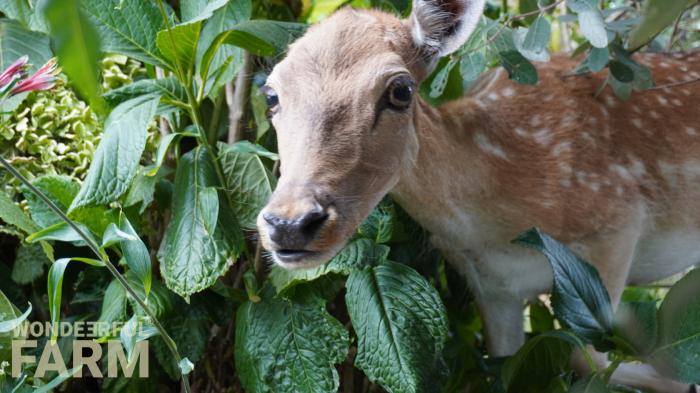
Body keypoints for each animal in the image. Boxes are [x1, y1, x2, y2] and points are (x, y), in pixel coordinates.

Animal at [254, 0, 700, 388]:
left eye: (401, 90)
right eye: (271, 94)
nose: (290, 223)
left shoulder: (616, 224)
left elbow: (592, 359)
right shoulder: (492, 288)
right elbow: (505, 367)